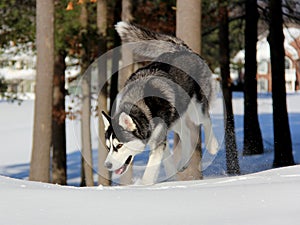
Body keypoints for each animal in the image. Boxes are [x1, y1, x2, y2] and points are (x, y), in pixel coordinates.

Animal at [101, 22, 218, 185]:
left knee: (206, 119)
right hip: (175, 117)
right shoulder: (160, 138)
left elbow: (150, 171)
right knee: (186, 133)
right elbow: (165, 160)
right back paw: (183, 162)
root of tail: (181, 49)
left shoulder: (158, 141)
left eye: (119, 145)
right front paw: (171, 177)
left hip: (196, 108)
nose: (107, 165)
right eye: (108, 147)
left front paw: (145, 185)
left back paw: (213, 146)